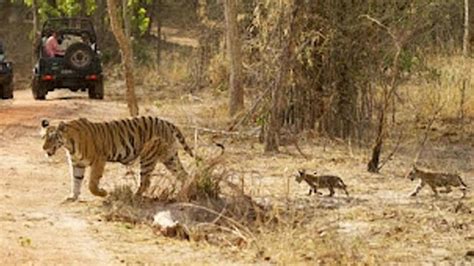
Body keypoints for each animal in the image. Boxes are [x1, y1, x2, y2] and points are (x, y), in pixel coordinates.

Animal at [40, 115, 195, 201]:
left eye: (52, 138)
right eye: (43, 137)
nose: (44, 148)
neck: (69, 145)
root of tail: (167, 122)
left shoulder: (98, 160)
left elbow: (92, 185)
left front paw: (103, 193)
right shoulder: (77, 163)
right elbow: (76, 180)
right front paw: (73, 196)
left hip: (148, 157)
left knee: (146, 181)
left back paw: (134, 196)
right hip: (170, 158)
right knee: (185, 175)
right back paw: (183, 195)